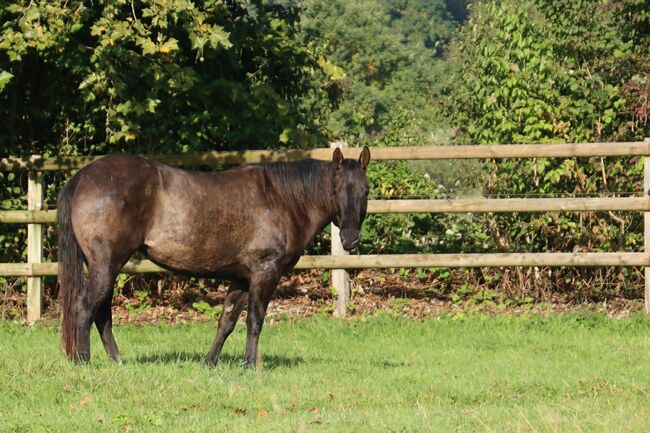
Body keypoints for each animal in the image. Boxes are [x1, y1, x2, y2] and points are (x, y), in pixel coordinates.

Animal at [57, 147, 371, 367]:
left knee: (101, 313)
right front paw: (249, 364)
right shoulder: (265, 272)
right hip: (106, 264)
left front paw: (210, 362)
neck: (282, 199)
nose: (350, 239)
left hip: (106, 267)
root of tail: (82, 176)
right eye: (335, 190)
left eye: (365, 191)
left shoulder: (241, 278)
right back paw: (83, 361)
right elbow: (255, 320)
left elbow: (227, 321)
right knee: (85, 307)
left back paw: (117, 361)